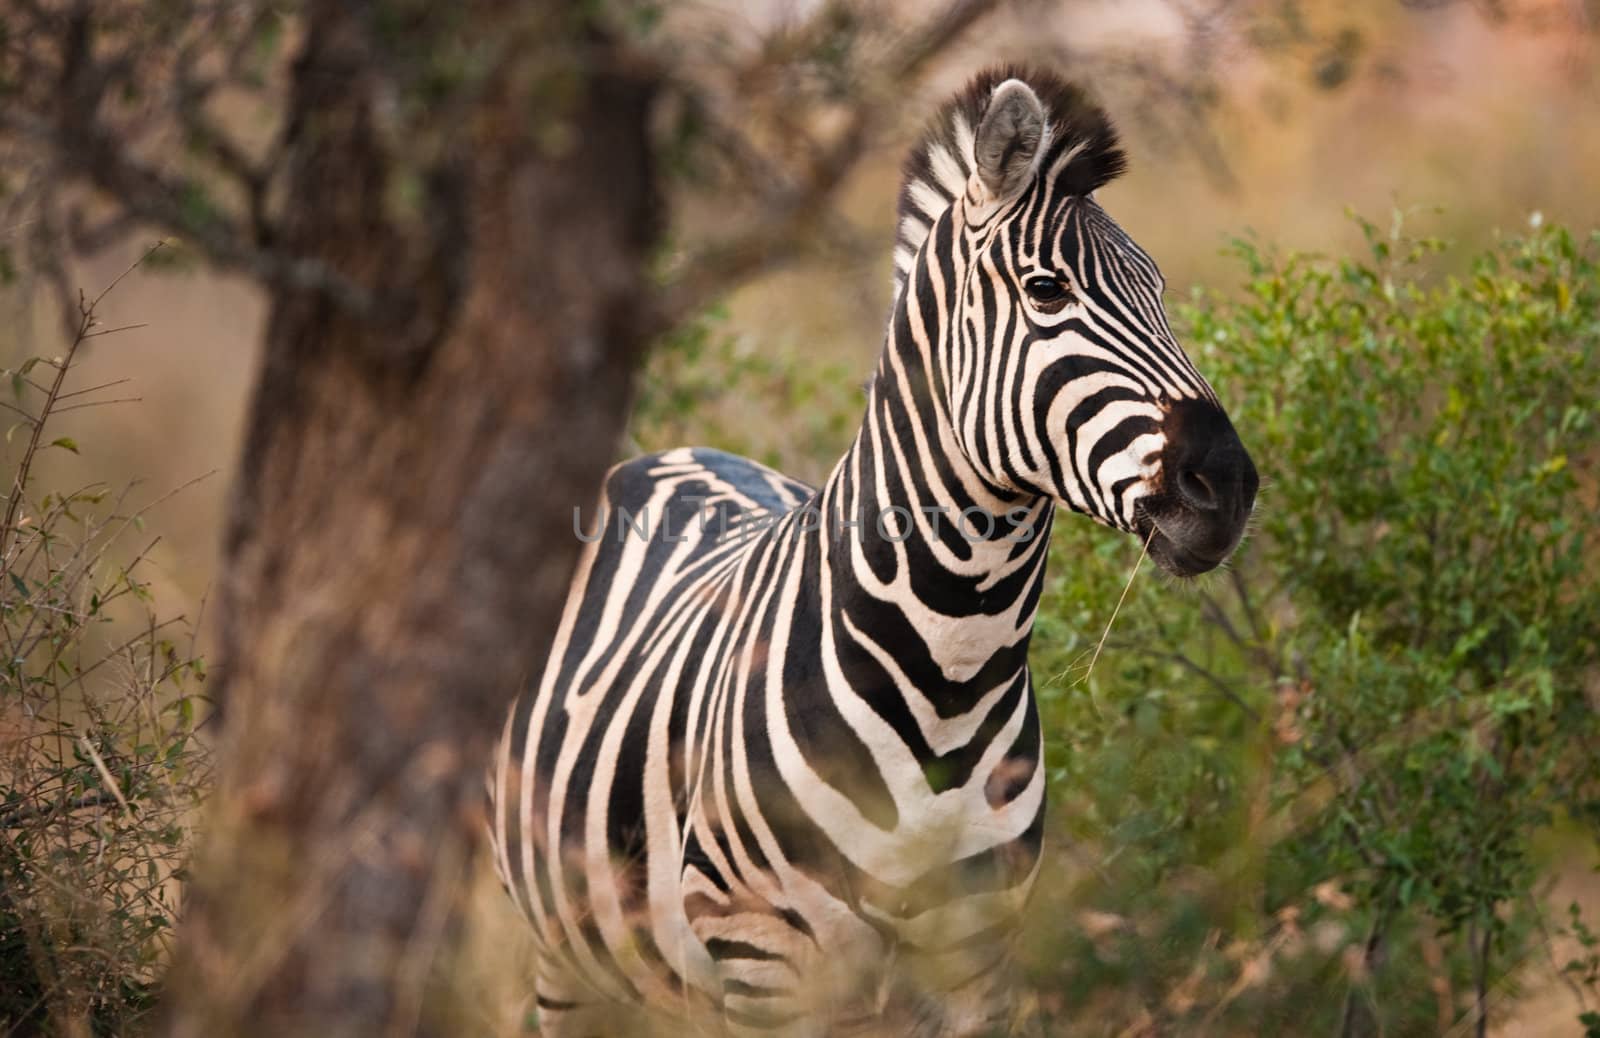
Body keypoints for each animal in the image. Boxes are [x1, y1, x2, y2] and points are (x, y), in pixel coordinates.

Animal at [480, 66, 1254, 1036]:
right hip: (567, 956)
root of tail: (670, 453)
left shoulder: (975, 960)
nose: (1228, 483)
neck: (954, 671)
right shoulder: (764, 959)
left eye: (1159, 290)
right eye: (1045, 291)